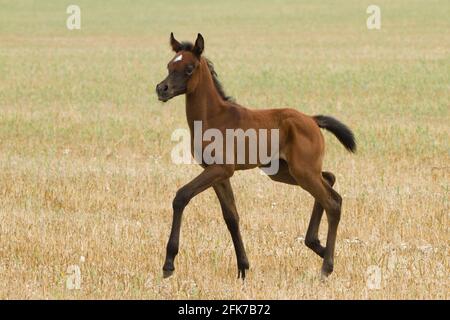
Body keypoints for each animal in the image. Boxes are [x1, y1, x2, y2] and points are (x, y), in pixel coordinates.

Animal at [155, 31, 356, 278]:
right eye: (169, 66)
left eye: (189, 68)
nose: (161, 89)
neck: (214, 117)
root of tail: (311, 119)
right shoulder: (217, 173)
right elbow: (231, 217)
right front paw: (243, 267)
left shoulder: (221, 169)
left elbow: (181, 196)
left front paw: (168, 263)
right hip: (284, 171)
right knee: (329, 179)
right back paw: (317, 245)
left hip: (302, 171)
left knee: (333, 202)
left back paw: (326, 266)